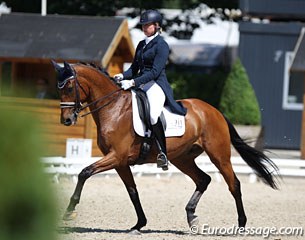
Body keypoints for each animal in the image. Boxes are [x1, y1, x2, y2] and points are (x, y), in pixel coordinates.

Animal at [51, 61, 278, 233]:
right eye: (59, 89)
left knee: (234, 185)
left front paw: (69, 211)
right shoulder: (120, 162)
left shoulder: (116, 156)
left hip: (219, 155)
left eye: (69, 88)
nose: (67, 120)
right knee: (203, 179)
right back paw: (191, 216)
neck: (114, 108)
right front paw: (139, 224)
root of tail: (214, 111)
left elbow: (84, 172)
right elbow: (132, 191)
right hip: (182, 158)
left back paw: (241, 225)